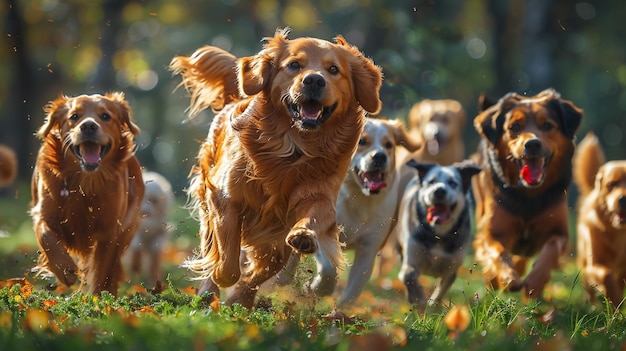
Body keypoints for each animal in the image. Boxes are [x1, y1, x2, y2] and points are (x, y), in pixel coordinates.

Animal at [30, 92, 144, 296]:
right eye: (74, 116)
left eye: (105, 116)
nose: (88, 126)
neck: (84, 183)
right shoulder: (43, 214)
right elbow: (46, 237)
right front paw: (65, 268)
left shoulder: (109, 230)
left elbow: (102, 270)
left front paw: (99, 298)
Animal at [169, 28, 380, 310]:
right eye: (294, 65)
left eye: (334, 69)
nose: (314, 80)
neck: (293, 150)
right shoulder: (225, 197)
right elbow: (228, 260)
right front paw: (222, 276)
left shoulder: (318, 198)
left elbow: (302, 228)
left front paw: (303, 235)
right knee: (213, 245)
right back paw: (209, 293)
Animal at [470, 88, 584, 300]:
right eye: (514, 126)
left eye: (547, 125)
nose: (532, 144)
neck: (528, 196)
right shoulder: (492, 232)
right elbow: (498, 252)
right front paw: (508, 278)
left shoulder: (561, 233)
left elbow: (551, 249)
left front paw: (535, 283)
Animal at [572, 132, 624, 308]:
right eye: (611, 184)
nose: (624, 199)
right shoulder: (592, 265)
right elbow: (607, 275)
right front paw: (615, 303)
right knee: (590, 291)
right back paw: (593, 306)